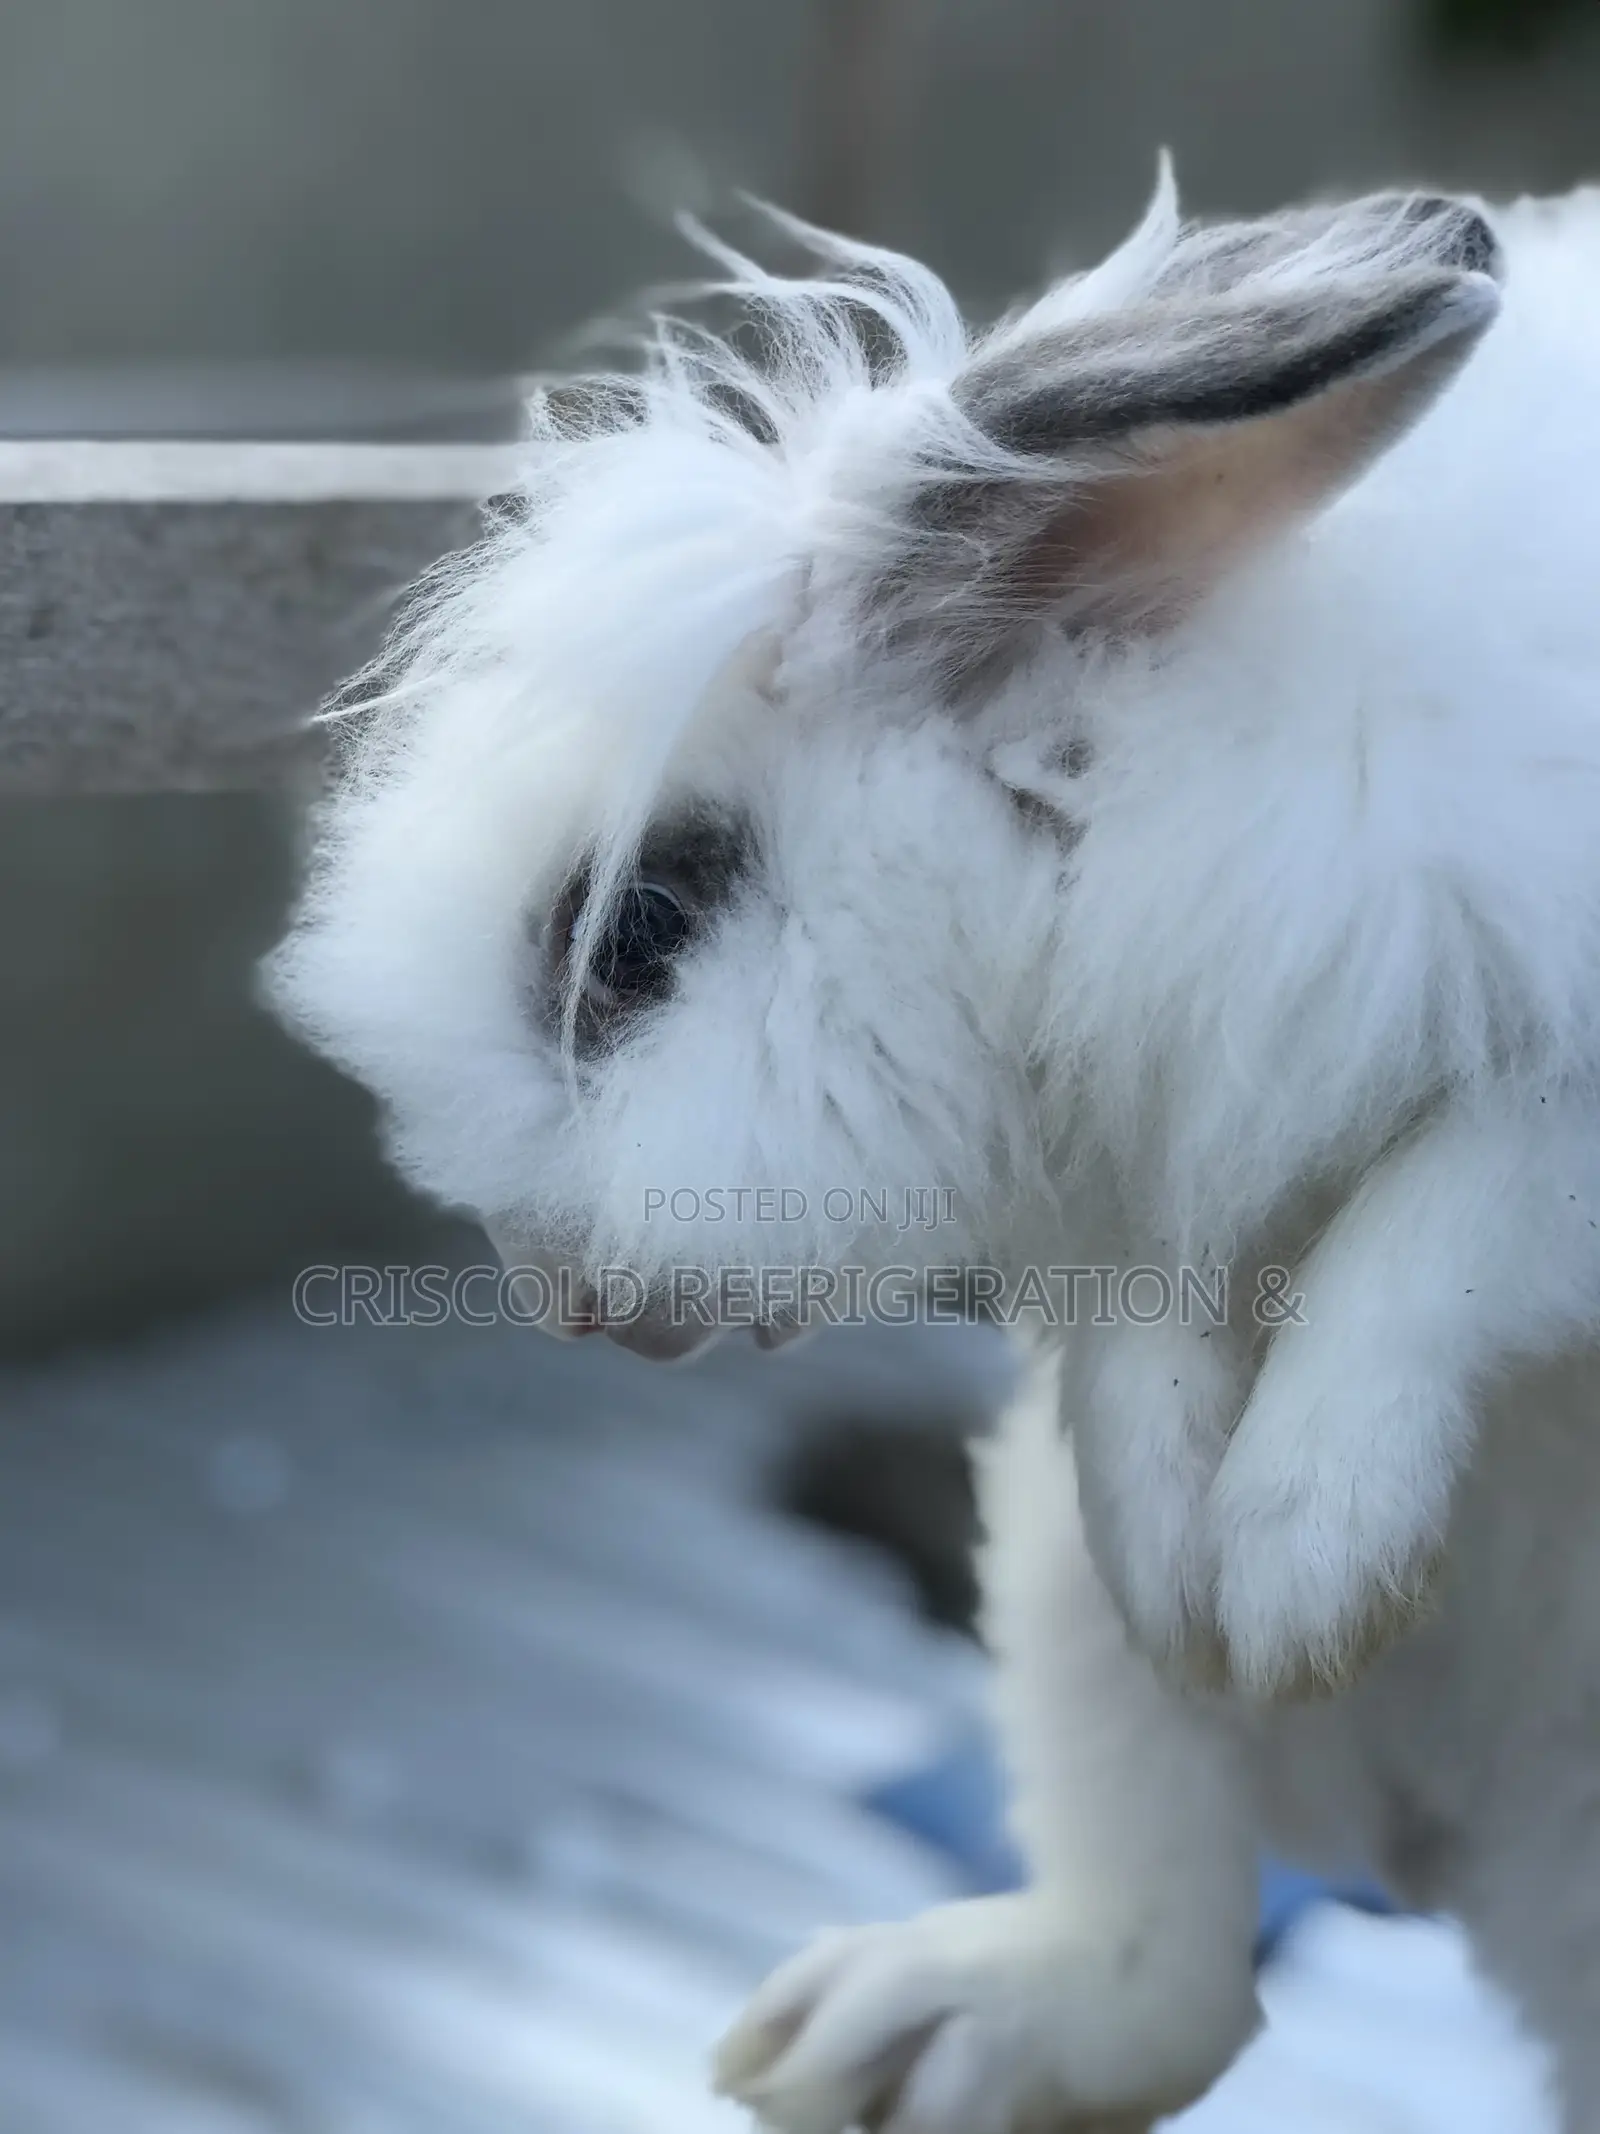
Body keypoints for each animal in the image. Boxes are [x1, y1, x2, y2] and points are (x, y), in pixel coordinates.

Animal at [265, 165, 1600, 2128]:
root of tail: (1430, 1847)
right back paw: (897, 2027)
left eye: (639, 928)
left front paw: (1296, 1560)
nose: (563, 1295)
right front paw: (1189, 1553)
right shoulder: (1142, 1161)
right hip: (1054, 1614)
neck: (1121, 771)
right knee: (1168, 1969)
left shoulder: (1561, 1103)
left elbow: (1451, 1211)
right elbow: (1141, 1318)